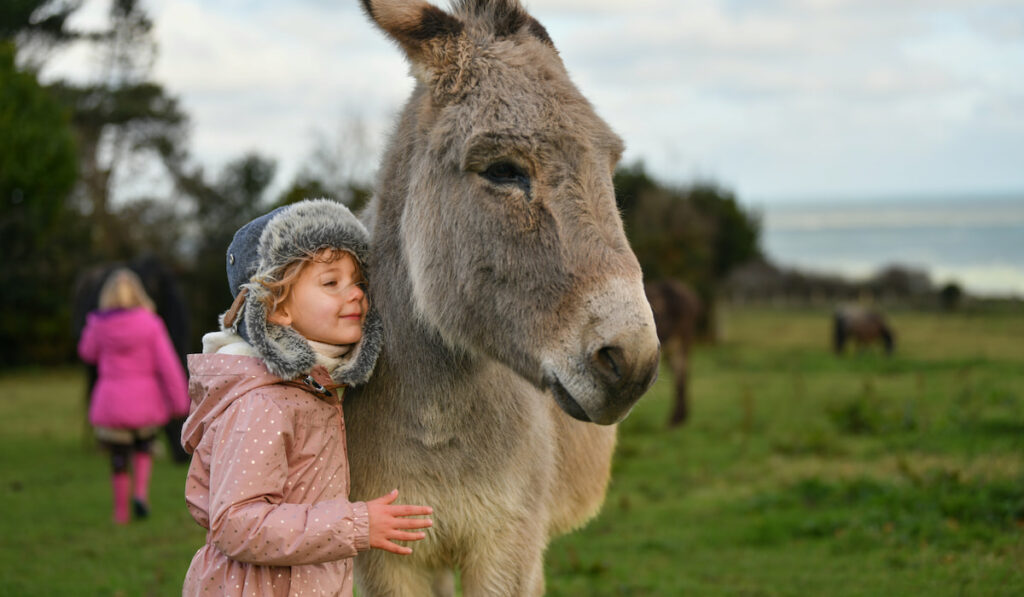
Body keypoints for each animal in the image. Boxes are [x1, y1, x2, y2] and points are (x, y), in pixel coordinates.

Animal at [348, 2, 659, 593]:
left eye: (610, 166)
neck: (439, 423)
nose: (632, 363)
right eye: (503, 171)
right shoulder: (385, 552)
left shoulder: (508, 541)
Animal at [643, 278, 700, 428]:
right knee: (679, 373)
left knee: (682, 373)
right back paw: (679, 417)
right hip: (672, 345)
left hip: (683, 338)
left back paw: (676, 419)